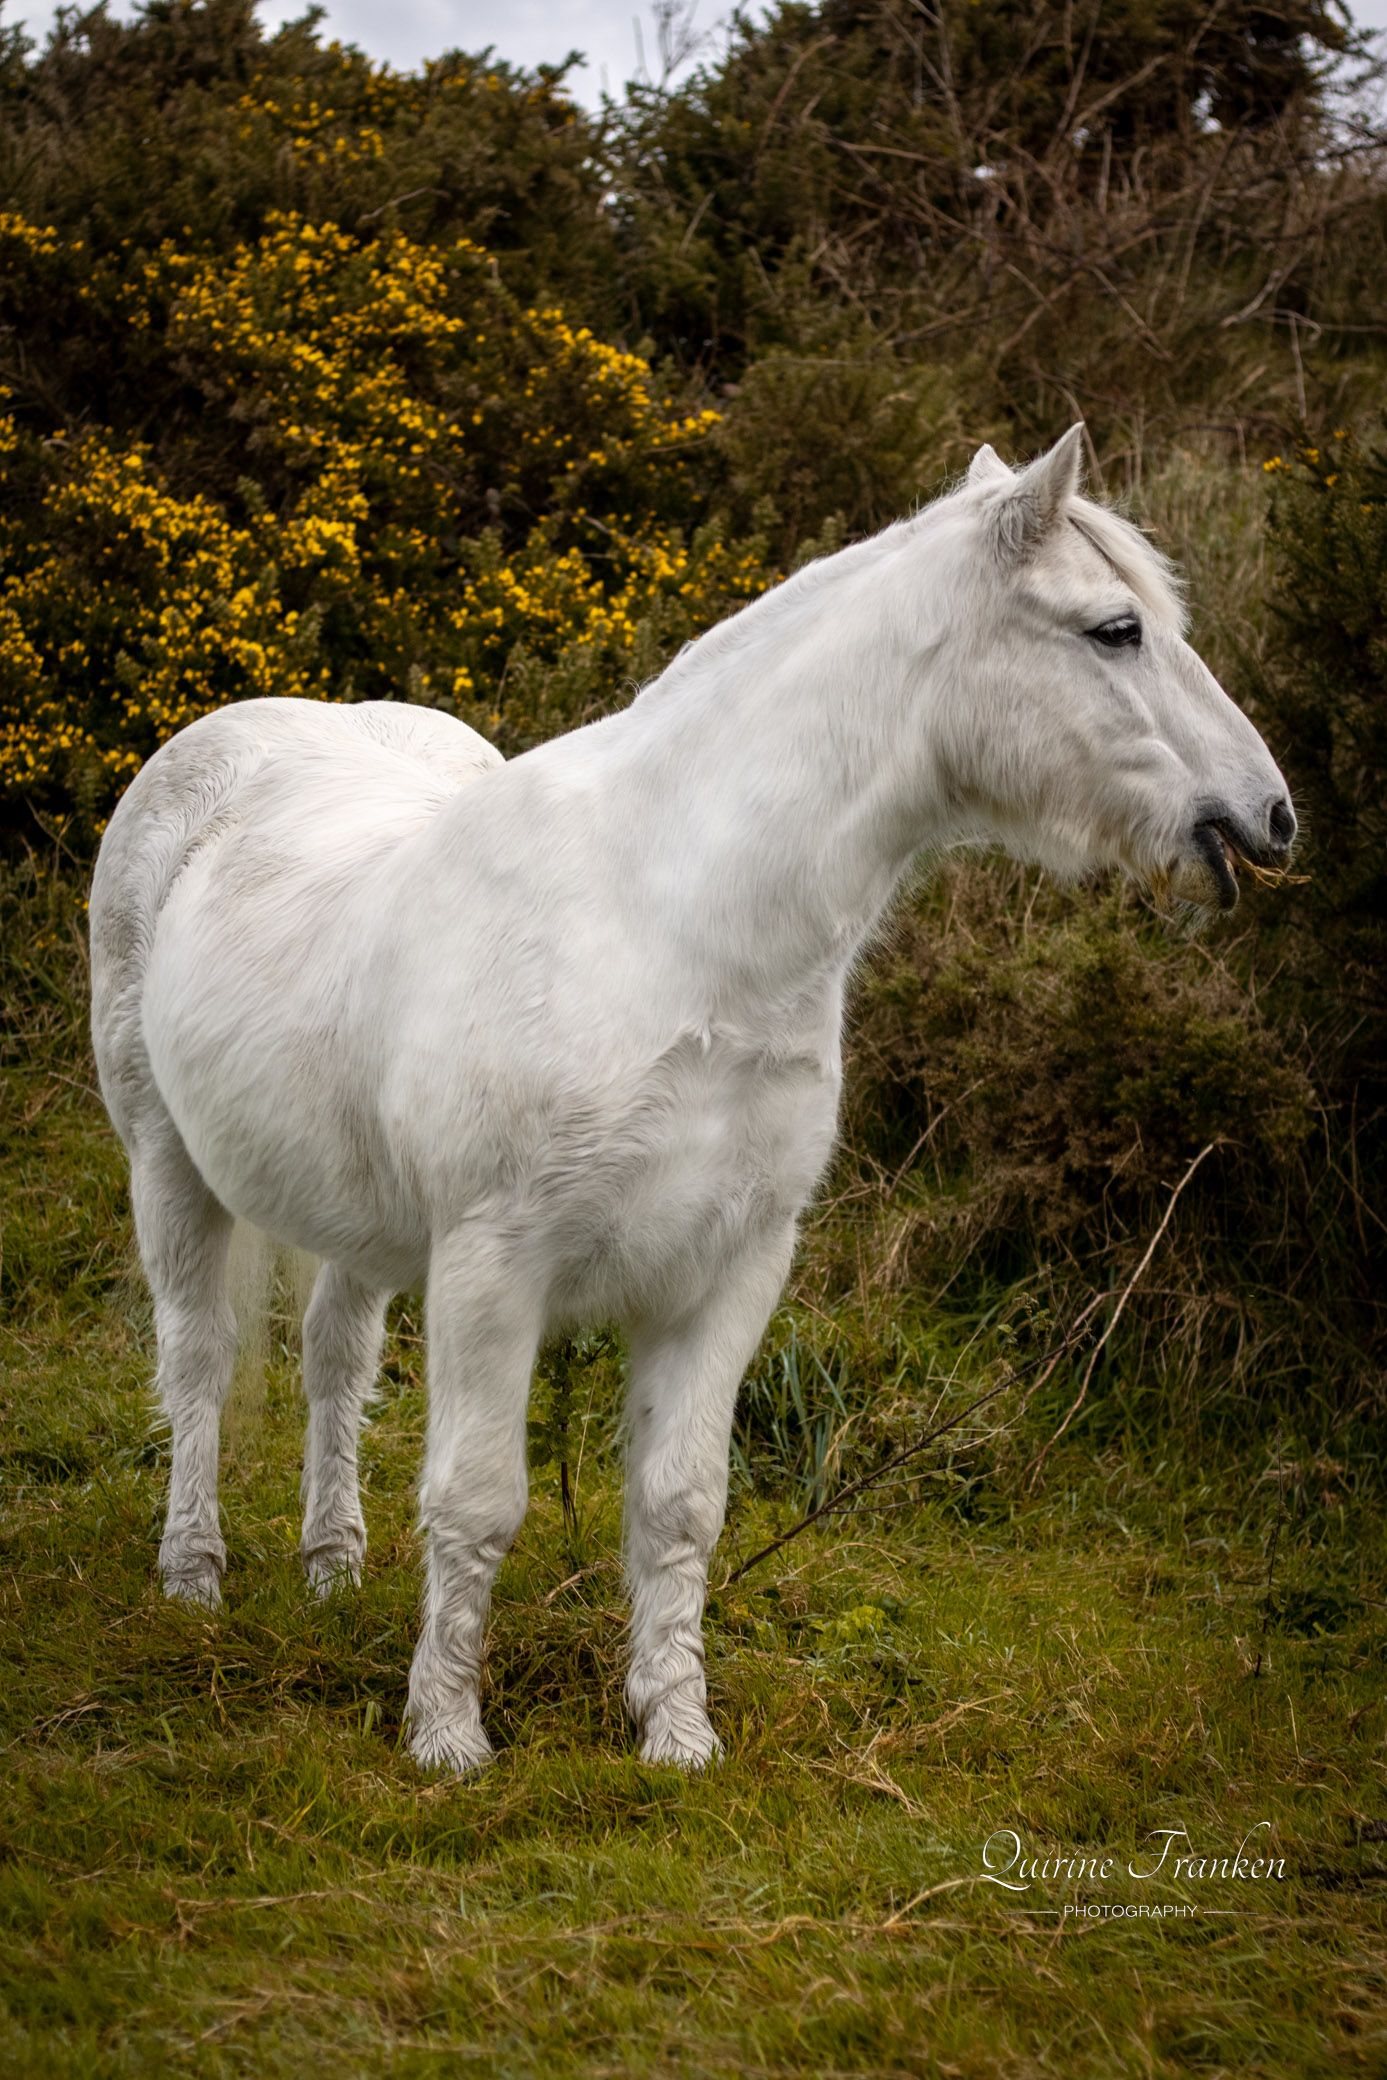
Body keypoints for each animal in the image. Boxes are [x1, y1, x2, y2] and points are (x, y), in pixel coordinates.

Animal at [89, 427, 1296, 1773]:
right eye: (1114, 630)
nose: (1265, 817)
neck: (674, 926)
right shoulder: (493, 1269)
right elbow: (476, 1498)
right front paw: (447, 1739)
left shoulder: (728, 1271)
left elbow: (678, 1508)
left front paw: (675, 1736)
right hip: (167, 1164)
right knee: (197, 1358)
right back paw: (194, 1578)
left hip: (357, 1221)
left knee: (332, 1360)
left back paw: (332, 1572)